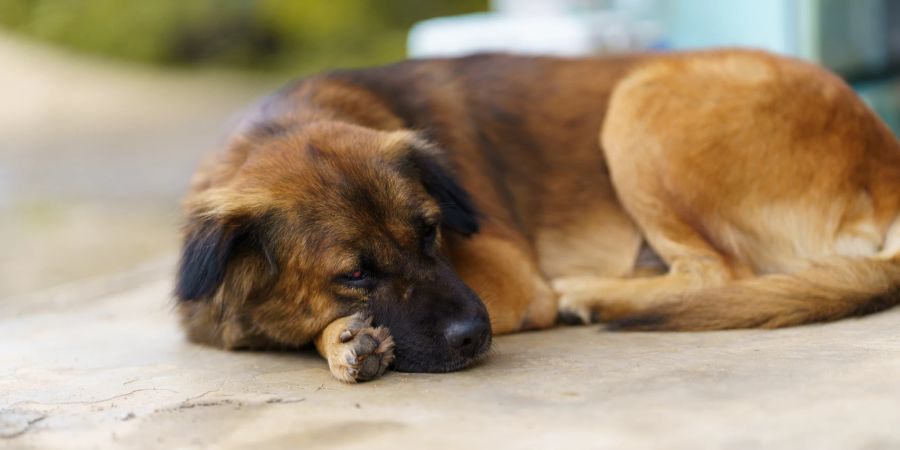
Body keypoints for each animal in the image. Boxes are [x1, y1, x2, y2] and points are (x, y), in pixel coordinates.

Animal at [174, 50, 900, 384]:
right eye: (354, 275)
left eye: (431, 232)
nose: (475, 336)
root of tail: (883, 157)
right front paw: (344, 337)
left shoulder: (511, 280)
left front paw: (337, 339)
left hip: (640, 100)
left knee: (719, 271)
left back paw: (591, 295)